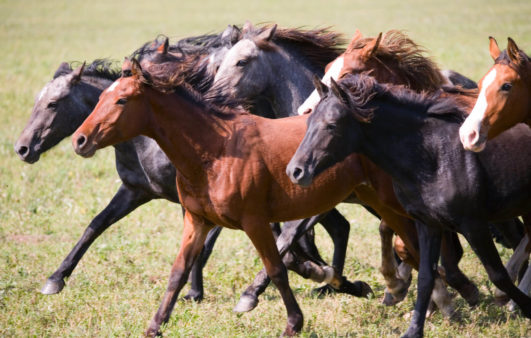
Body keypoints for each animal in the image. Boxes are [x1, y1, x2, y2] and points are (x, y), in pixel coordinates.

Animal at [286, 74, 531, 338]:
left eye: (331, 125)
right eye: (309, 121)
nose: (295, 171)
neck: (435, 157)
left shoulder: (473, 225)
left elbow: (498, 275)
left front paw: (522, 306)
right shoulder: (429, 224)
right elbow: (425, 276)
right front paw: (414, 329)